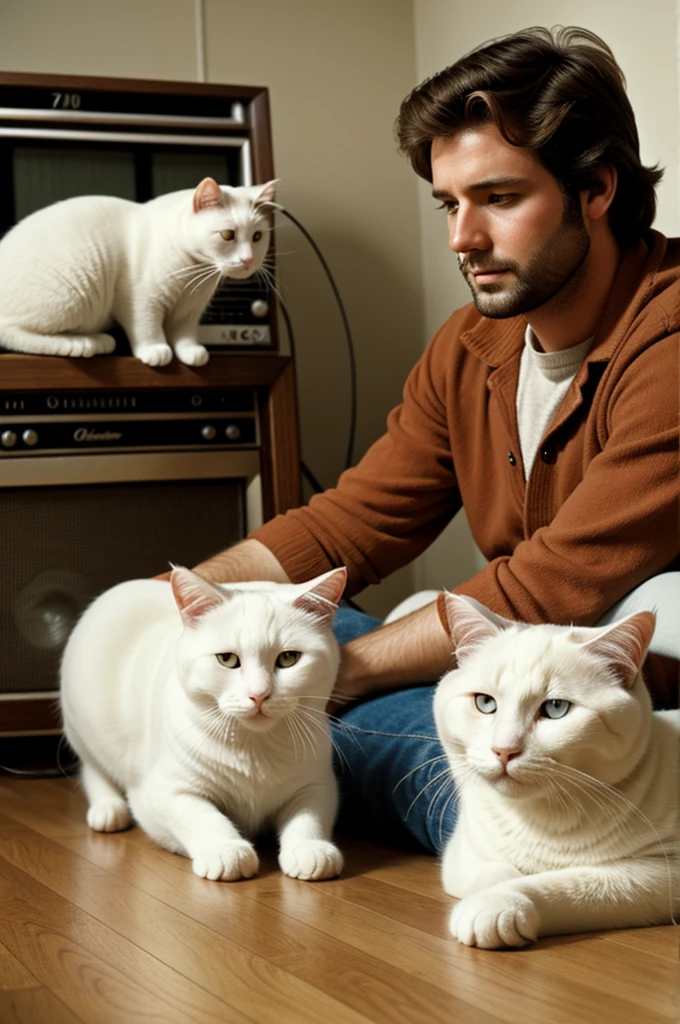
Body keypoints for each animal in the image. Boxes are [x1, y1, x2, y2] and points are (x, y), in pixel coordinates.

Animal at [0, 178, 276, 366]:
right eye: (228, 235)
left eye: (257, 237)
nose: (248, 259)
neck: (193, 274)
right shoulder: (139, 299)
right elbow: (147, 326)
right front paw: (156, 349)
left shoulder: (189, 310)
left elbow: (184, 333)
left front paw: (190, 351)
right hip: (75, 294)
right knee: (11, 332)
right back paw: (83, 343)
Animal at [59, 565, 346, 884]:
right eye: (228, 659)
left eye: (288, 658)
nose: (259, 694)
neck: (254, 748)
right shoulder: (164, 792)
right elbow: (203, 816)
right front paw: (227, 850)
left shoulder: (318, 784)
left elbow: (309, 815)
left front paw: (310, 849)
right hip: (81, 727)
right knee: (92, 769)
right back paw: (108, 809)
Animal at [436, 593, 680, 950]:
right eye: (485, 703)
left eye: (555, 709)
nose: (504, 750)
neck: (540, 819)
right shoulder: (460, 855)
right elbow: (490, 873)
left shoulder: (661, 871)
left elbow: (563, 883)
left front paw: (499, 903)